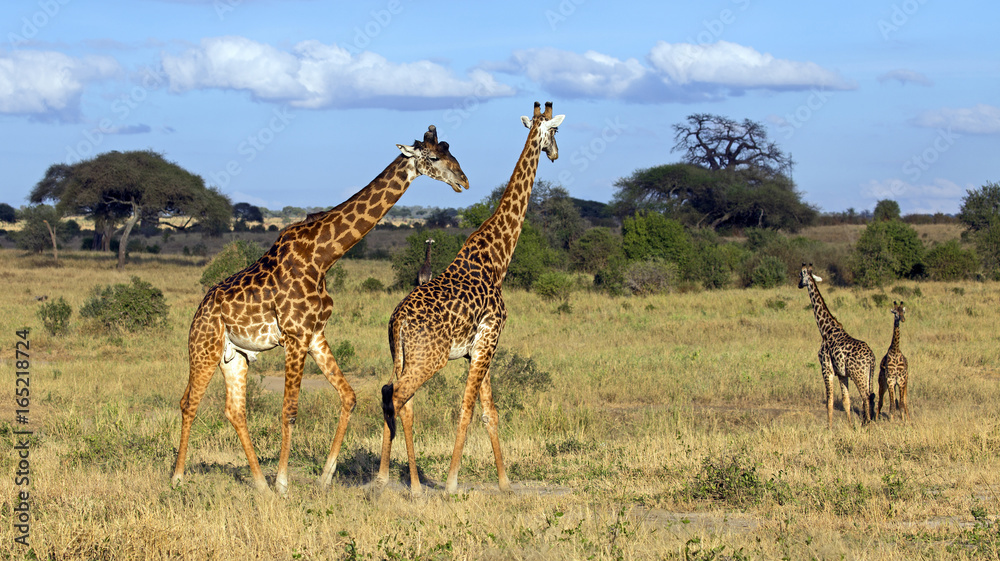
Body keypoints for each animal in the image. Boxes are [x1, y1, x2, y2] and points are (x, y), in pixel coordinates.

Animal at [171, 126, 468, 495]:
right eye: (433, 157)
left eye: (451, 153)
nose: (463, 180)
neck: (323, 256)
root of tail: (199, 311)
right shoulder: (295, 335)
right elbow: (289, 409)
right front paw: (283, 482)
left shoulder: (315, 334)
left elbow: (349, 396)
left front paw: (324, 476)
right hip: (204, 348)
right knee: (189, 402)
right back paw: (178, 477)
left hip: (234, 356)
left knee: (234, 410)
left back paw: (259, 483)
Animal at [376, 101, 564, 495]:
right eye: (556, 131)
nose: (555, 153)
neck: (497, 259)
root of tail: (398, 319)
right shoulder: (488, 341)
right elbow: (466, 409)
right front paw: (450, 482)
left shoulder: (478, 348)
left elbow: (490, 411)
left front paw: (505, 483)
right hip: (429, 358)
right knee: (399, 396)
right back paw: (412, 485)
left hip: (402, 355)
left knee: (392, 393)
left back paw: (385, 476)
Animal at [798, 263, 877, 428]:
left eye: (800, 275)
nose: (799, 285)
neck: (825, 329)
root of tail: (871, 358)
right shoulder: (842, 373)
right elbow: (846, 401)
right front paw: (850, 426)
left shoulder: (826, 368)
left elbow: (830, 401)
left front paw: (829, 427)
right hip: (868, 374)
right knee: (872, 395)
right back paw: (869, 421)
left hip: (858, 374)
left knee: (866, 396)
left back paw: (866, 424)